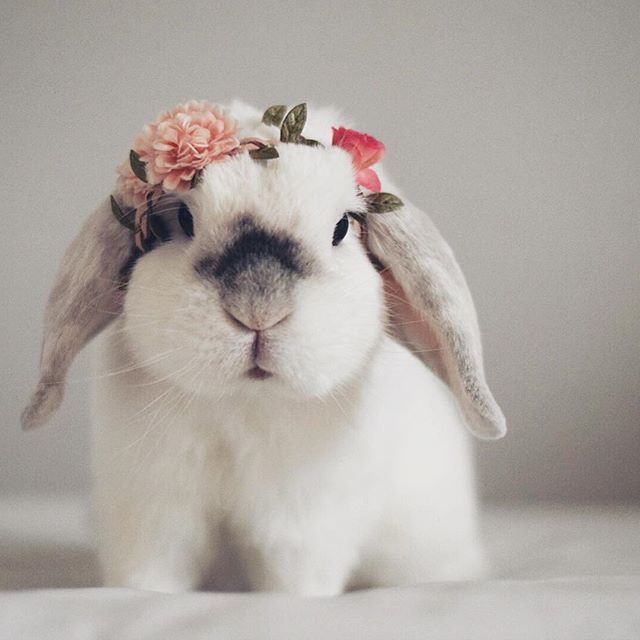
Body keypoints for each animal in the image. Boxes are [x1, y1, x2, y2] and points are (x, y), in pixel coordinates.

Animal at [22, 100, 508, 596]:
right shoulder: (150, 516)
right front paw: (141, 596)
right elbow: (149, 577)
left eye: (341, 228)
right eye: (182, 220)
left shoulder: (302, 527)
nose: (258, 308)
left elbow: (292, 584)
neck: (244, 404)